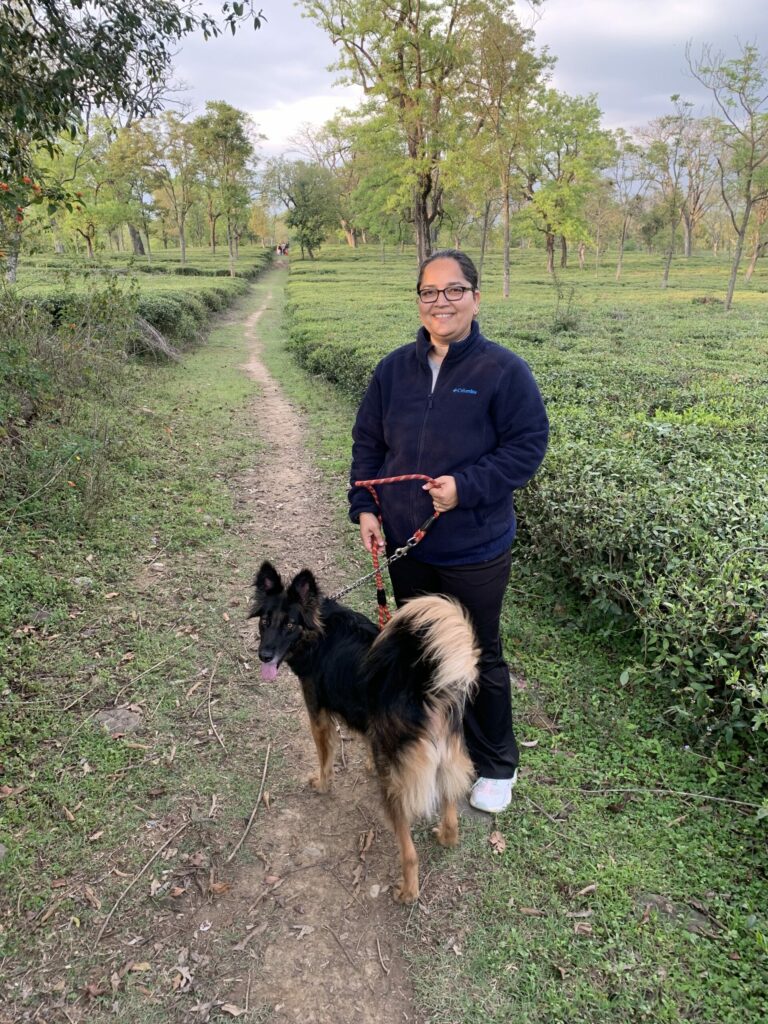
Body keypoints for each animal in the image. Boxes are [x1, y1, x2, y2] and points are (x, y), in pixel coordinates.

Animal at [250, 561, 481, 905]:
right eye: (265, 620)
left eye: (290, 624)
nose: (264, 655)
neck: (320, 630)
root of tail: (425, 692)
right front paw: (368, 764)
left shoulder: (318, 715)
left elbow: (325, 757)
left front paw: (322, 784)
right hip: (446, 761)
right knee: (451, 813)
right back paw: (445, 836)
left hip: (396, 788)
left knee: (409, 851)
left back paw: (408, 892)